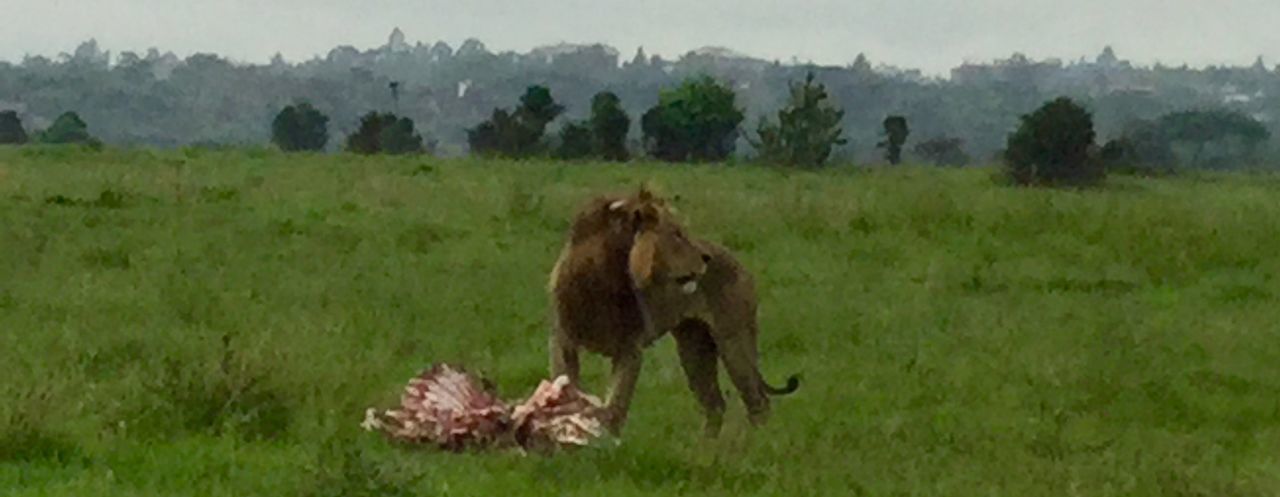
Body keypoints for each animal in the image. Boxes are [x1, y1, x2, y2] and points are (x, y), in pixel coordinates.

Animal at [542, 184, 798, 438]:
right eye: (677, 233)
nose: (707, 258)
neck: (601, 278)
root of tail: (739, 264)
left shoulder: (630, 349)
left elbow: (615, 408)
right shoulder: (562, 341)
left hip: (734, 341)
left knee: (757, 400)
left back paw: (758, 442)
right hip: (694, 348)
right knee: (714, 404)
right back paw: (706, 447)